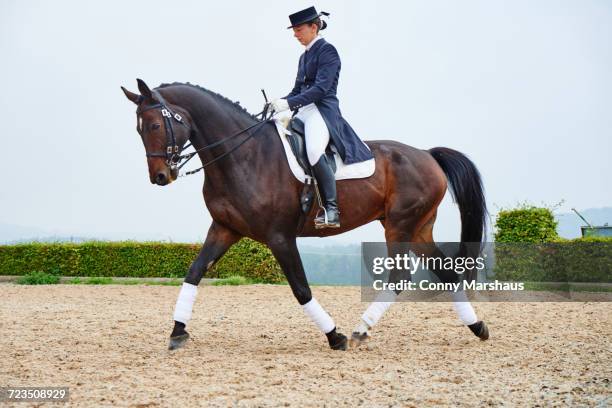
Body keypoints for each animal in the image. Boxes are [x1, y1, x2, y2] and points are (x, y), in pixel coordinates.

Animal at [122, 79, 490, 350]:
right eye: (139, 129)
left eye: (154, 125)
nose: (160, 176)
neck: (243, 156)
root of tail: (427, 155)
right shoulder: (224, 228)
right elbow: (194, 273)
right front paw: (177, 332)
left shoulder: (280, 237)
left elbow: (301, 289)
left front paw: (335, 336)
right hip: (417, 229)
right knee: (447, 273)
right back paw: (478, 327)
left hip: (400, 227)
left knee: (401, 277)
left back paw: (360, 329)